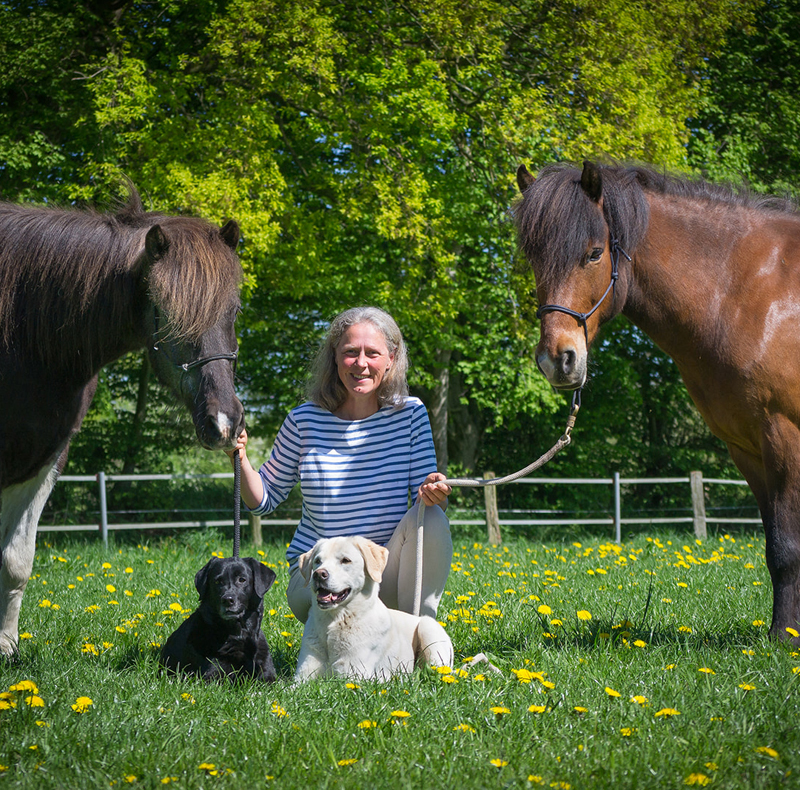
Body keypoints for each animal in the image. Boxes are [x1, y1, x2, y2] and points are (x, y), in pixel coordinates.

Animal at [0, 187, 245, 656]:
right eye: (165, 311)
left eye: (235, 309)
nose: (225, 422)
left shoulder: (45, 455)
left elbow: (15, 560)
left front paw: (5, 647)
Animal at [296, 536, 456, 684]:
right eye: (318, 561)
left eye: (346, 560)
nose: (318, 574)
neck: (334, 621)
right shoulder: (303, 675)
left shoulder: (352, 674)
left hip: (428, 630)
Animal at [512, 161, 800, 644]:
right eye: (534, 259)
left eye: (594, 254)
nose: (558, 360)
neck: (751, 293)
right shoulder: (747, 448)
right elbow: (774, 546)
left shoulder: (785, 435)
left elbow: (787, 546)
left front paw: (784, 638)